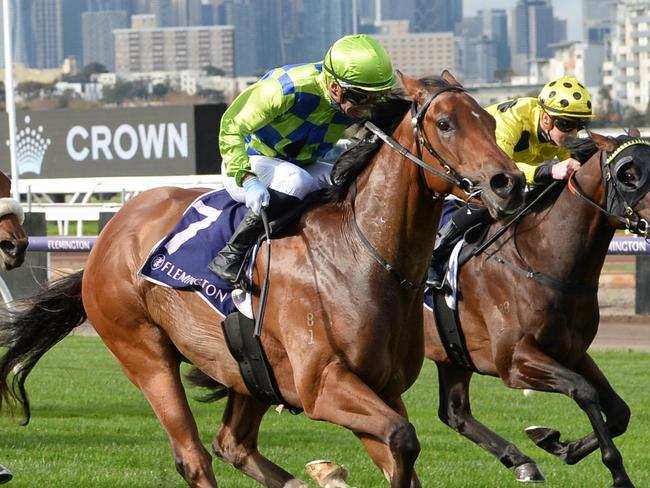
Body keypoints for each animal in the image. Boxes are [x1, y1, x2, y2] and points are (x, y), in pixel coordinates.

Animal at [0, 73, 520, 488]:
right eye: (446, 124)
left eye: (489, 120)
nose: (507, 183)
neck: (361, 256)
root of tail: (111, 232)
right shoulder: (323, 385)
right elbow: (403, 438)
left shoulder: (382, 388)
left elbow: (401, 454)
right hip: (143, 352)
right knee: (194, 457)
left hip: (248, 370)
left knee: (233, 444)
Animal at [426, 132, 648, 488]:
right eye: (628, 174)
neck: (541, 258)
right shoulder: (513, 363)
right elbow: (583, 390)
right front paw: (617, 473)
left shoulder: (571, 351)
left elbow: (619, 413)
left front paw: (557, 444)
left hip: (451, 352)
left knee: (454, 413)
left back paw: (521, 461)